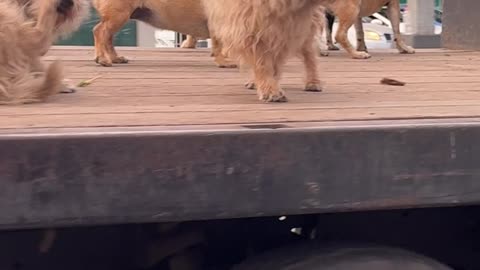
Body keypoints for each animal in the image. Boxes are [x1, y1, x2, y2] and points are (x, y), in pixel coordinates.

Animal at [91, 0, 236, 67]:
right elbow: (219, 46)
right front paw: (223, 61)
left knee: (108, 37)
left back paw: (115, 58)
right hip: (119, 15)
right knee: (100, 31)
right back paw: (102, 58)